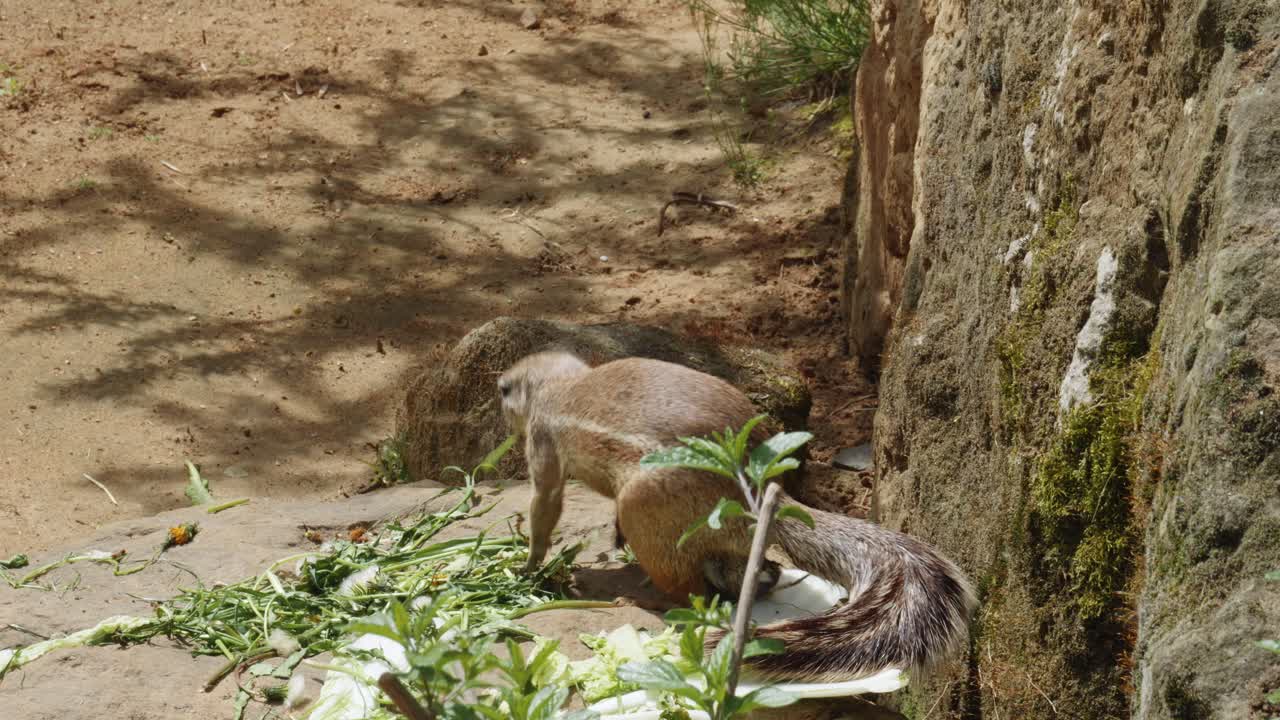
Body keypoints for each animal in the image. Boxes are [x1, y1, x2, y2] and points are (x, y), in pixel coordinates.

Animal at [498, 351, 977, 682]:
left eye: (503, 389)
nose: (498, 390)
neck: (562, 383)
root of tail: (763, 492)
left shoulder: (543, 442)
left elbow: (545, 505)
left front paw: (529, 566)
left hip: (644, 508)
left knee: (690, 594)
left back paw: (641, 600)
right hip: (724, 543)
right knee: (755, 575)